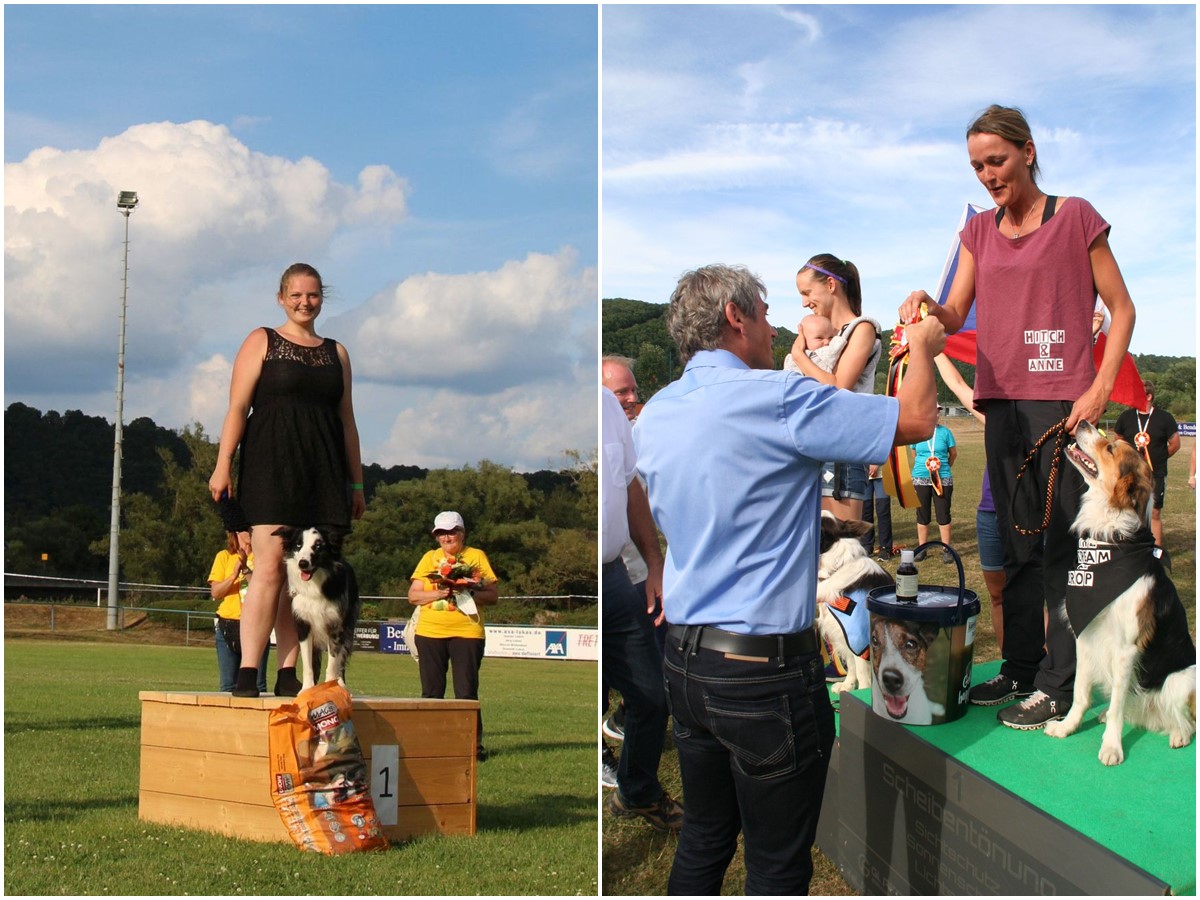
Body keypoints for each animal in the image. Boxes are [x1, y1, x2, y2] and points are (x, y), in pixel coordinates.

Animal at [274, 525, 360, 696]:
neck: (314, 585)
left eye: (318, 547)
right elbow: (308, 665)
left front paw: (331, 687)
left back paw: (341, 684)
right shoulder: (303, 626)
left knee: (341, 660)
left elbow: (333, 662)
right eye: (298, 545)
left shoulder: (336, 626)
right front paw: (307, 689)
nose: (303, 563)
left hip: (348, 628)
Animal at [1046, 422, 1195, 768]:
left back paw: (1178, 735)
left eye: (1111, 448)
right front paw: (1067, 727)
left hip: (1181, 680)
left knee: (1185, 719)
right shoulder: (1086, 635)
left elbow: (1115, 706)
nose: (1082, 422)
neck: (1111, 540)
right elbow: (1080, 692)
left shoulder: (1126, 647)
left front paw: (1112, 747)